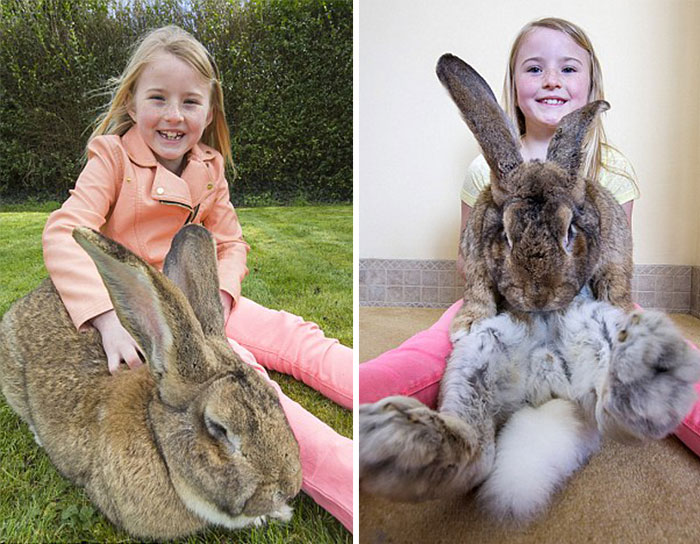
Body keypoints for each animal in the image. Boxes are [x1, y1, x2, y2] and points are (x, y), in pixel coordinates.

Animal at [435, 54, 634, 338]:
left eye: (570, 232)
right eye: (506, 235)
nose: (538, 299)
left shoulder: (613, 260)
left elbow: (613, 286)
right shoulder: (475, 262)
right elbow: (477, 291)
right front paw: (469, 324)